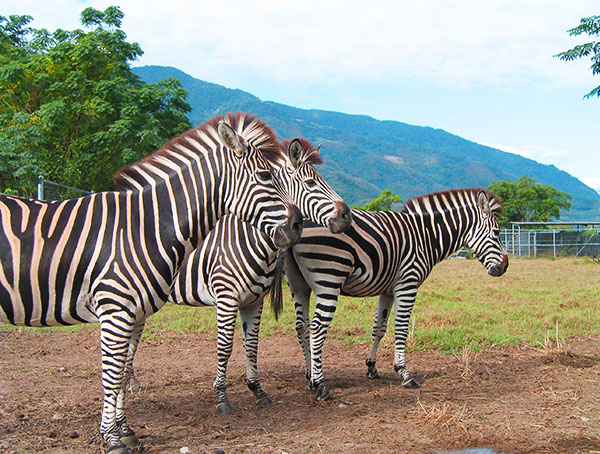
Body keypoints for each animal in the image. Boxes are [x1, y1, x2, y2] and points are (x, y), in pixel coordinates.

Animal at [0, 112, 304, 454]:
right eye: (265, 175)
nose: (297, 226)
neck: (144, 227)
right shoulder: (116, 310)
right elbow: (112, 374)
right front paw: (111, 438)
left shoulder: (131, 313)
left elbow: (121, 371)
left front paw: (125, 431)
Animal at [165, 138, 352, 414]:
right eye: (311, 183)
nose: (346, 216)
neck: (249, 239)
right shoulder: (227, 299)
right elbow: (225, 347)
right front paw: (221, 396)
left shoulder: (255, 300)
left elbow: (252, 344)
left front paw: (257, 390)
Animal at [284, 188, 508, 400]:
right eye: (497, 233)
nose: (505, 267)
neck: (427, 235)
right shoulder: (408, 284)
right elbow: (401, 328)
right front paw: (404, 373)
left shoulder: (387, 291)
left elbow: (379, 329)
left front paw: (372, 367)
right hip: (329, 278)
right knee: (316, 328)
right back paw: (320, 385)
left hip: (299, 286)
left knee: (302, 327)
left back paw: (309, 376)